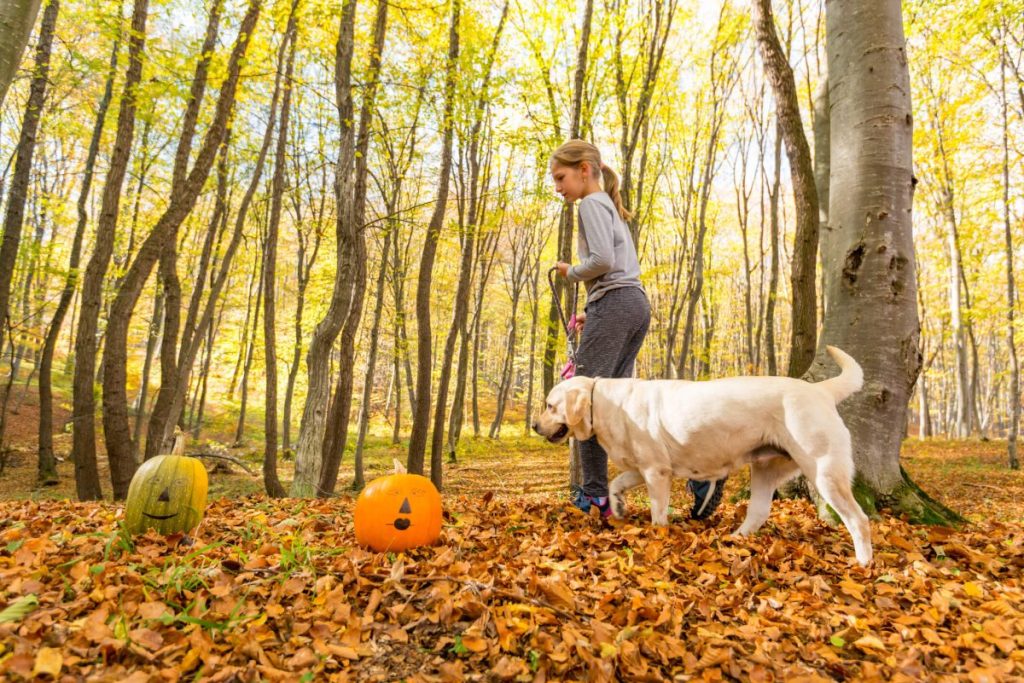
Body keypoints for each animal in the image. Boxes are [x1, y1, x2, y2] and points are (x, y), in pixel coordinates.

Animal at [536, 348, 872, 565]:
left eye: (550, 405)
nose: (534, 425)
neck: (606, 403)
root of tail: (821, 390)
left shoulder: (657, 472)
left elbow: (658, 512)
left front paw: (657, 535)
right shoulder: (643, 467)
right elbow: (615, 484)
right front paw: (617, 508)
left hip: (824, 471)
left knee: (859, 519)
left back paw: (863, 562)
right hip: (765, 469)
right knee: (759, 512)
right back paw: (735, 539)